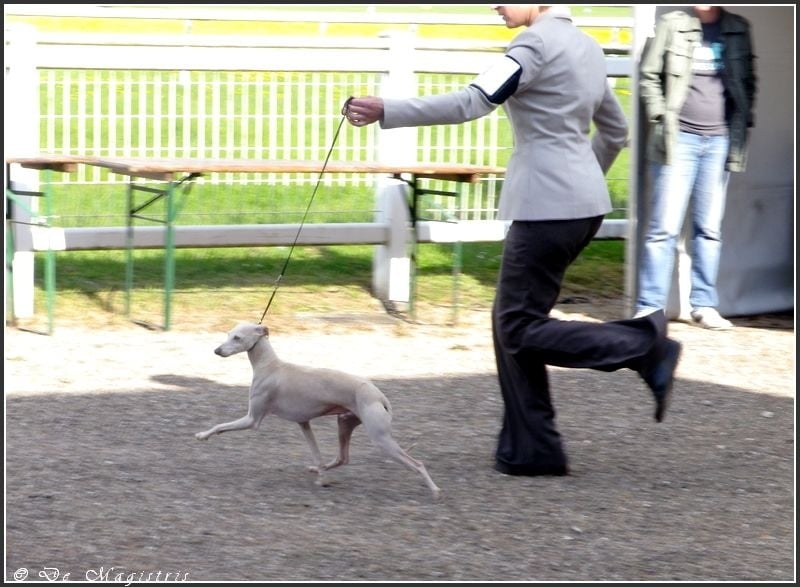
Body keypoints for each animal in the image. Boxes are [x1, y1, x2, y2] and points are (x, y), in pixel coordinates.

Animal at [195, 322, 440, 498]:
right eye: (228, 334)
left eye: (237, 337)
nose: (217, 350)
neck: (271, 367)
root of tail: (379, 395)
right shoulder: (304, 423)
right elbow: (317, 452)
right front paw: (321, 477)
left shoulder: (252, 419)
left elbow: (220, 426)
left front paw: (202, 435)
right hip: (345, 423)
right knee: (343, 458)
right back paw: (316, 469)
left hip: (381, 439)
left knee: (417, 464)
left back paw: (435, 490)